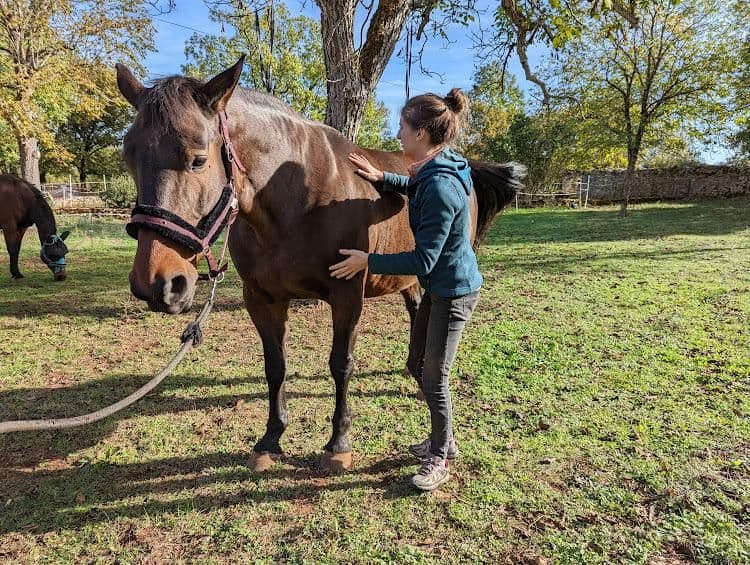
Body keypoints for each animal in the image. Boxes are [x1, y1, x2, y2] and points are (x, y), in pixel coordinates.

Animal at [115, 56, 524, 472]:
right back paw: (416, 369)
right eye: (128, 157)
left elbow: (340, 364)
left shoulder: (347, 296)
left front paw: (338, 443)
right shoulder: (261, 298)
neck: (298, 201)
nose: (157, 284)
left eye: (198, 160)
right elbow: (275, 365)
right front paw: (271, 439)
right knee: (416, 313)